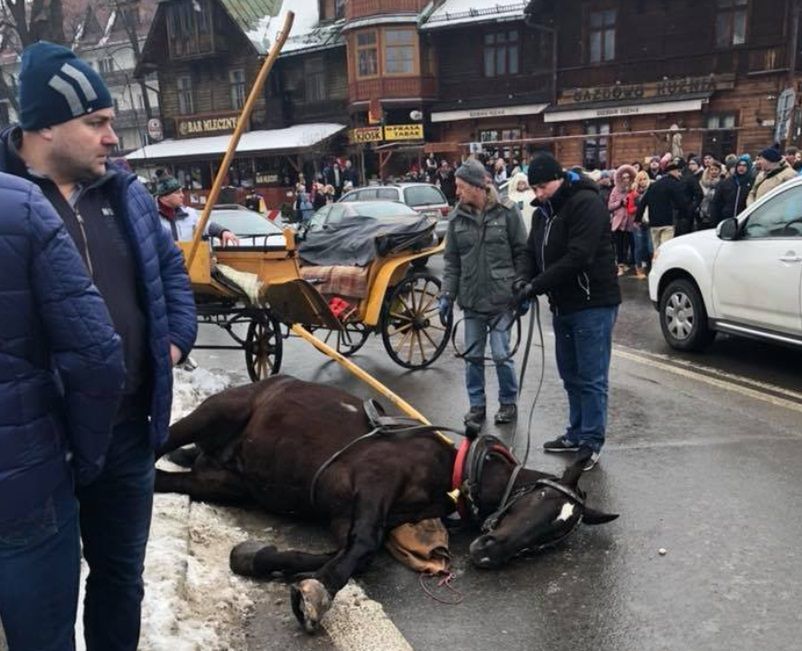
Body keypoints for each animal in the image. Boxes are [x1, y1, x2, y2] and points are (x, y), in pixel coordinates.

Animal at [156, 374, 620, 636]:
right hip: (212, 416)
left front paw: (256, 556)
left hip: (224, 482)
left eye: (550, 539)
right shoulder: (373, 483)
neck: (449, 472)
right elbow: (364, 547)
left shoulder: (344, 514)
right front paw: (318, 591)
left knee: (169, 477)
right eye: (539, 498)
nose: (488, 552)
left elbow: (358, 553)